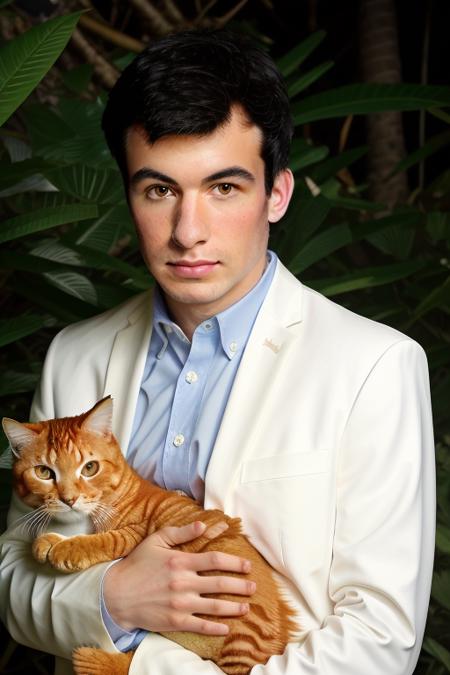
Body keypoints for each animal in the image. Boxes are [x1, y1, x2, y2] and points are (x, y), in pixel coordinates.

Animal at [3, 398, 300, 672]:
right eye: (44, 472)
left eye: (89, 468)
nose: (69, 499)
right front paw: (49, 540)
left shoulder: (133, 534)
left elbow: (101, 541)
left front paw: (63, 548)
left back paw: (92, 660)